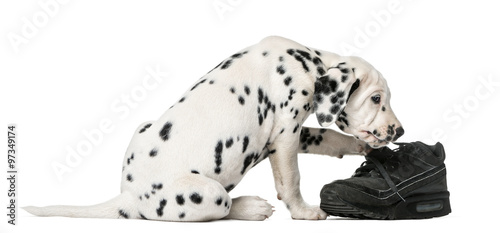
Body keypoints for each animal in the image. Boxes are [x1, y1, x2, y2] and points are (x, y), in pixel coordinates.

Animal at [25, 36, 404, 220]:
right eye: (376, 99)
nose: (399, 132)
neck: (308, 61)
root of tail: (128, 197)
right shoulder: (285, 135)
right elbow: (291, 180)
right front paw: (303, 212)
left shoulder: (295, 134)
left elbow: (328, 136)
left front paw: (360, 148)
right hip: (209, 193)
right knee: (221, 209)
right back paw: (251, 207)